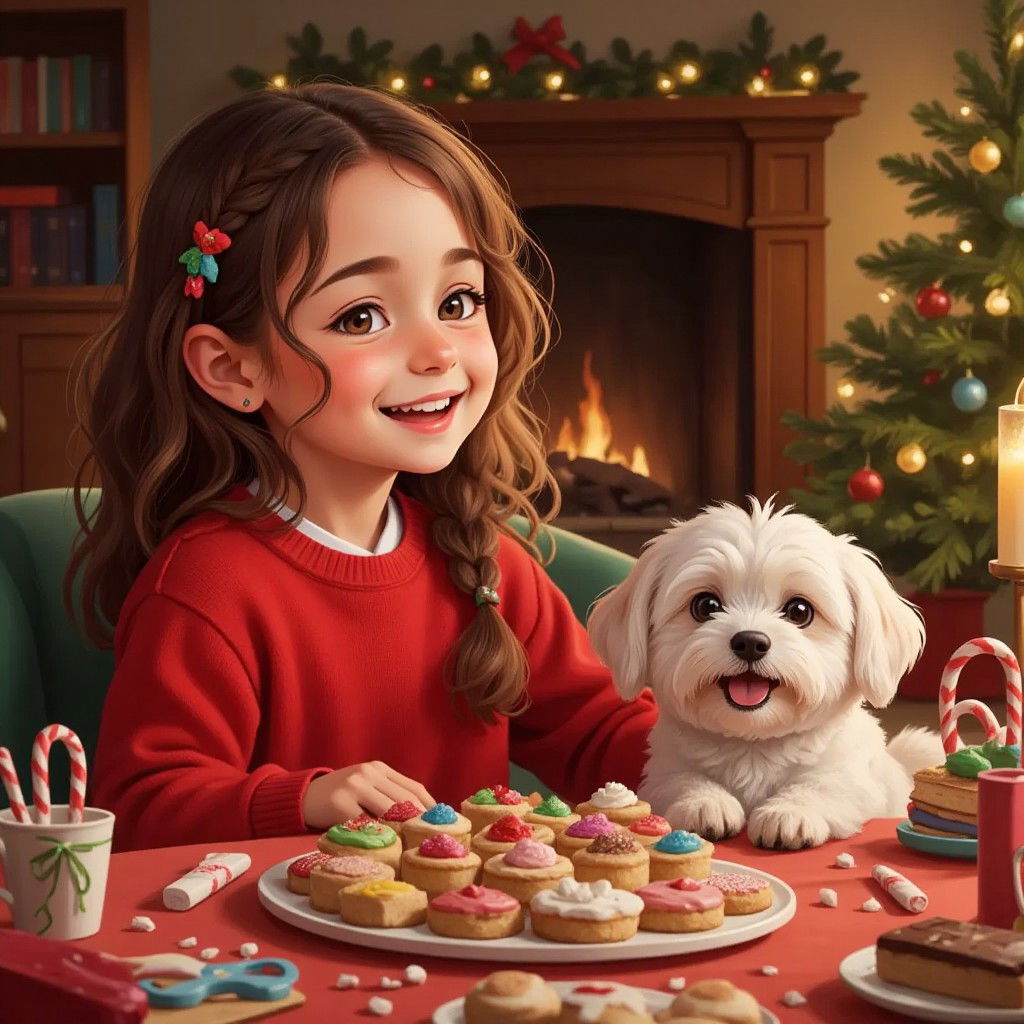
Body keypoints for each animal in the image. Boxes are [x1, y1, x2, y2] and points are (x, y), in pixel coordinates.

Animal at [589, 495, 937, 847]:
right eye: (705, 606)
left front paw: (790, 811)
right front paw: (704, 801)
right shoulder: (664, 769)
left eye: (800, 611)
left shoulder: (853, 777)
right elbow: (680, 779)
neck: (754, 745)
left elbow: (827, 784)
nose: (750, 642)